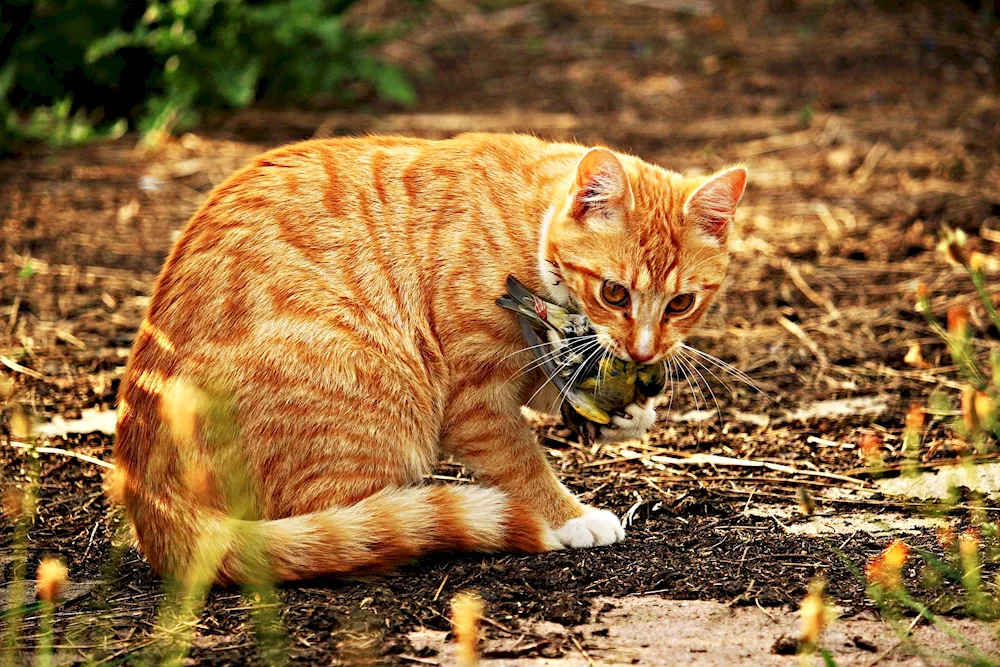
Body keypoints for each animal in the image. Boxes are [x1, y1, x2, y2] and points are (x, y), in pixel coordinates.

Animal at [113, 134, 748, 584]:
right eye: (614, 293)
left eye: (682, 303)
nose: (644, 351)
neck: (528, 229)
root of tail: (150, 501)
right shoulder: (476, 400)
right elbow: (522, 462)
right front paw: (570, 515)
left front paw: (628, 410)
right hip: (373, 387)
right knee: (340, 531)